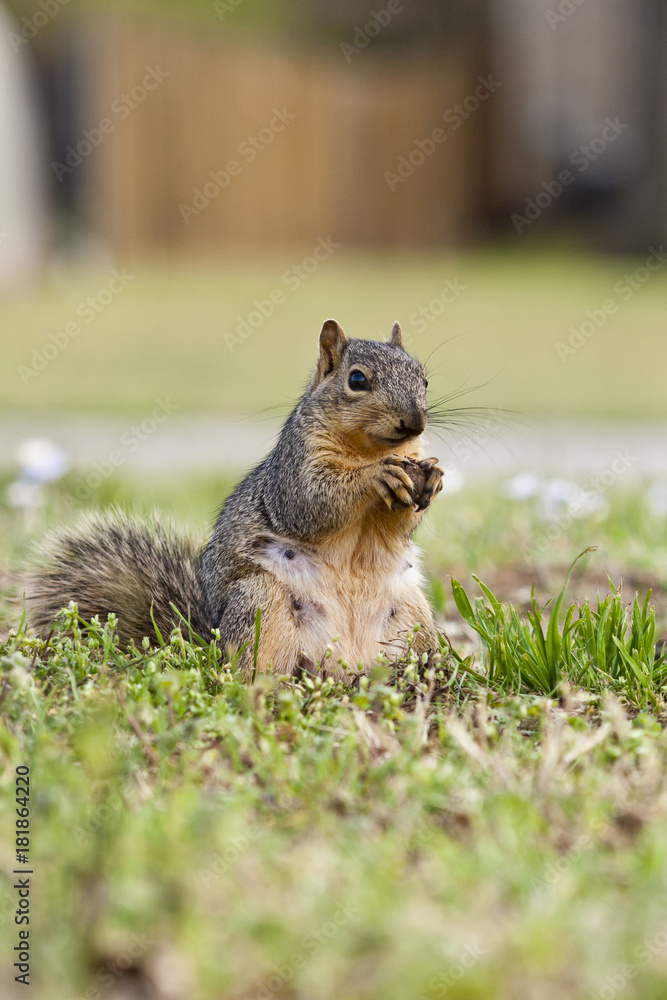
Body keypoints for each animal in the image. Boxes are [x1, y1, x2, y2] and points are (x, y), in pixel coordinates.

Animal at [26, 320, 444, 678]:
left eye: (424, 379)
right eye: (357, 379)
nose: (415, 422)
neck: (370, 449)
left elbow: (400, 524)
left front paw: (433, 478)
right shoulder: (293, 471)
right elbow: (311, 503)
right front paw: (376, 476)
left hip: (411, 614)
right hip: (262, 604)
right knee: (251, 669)